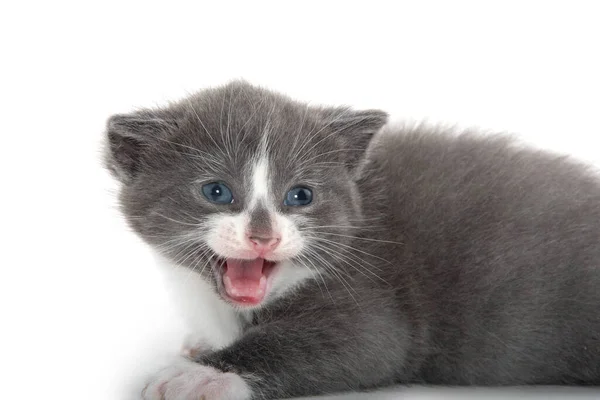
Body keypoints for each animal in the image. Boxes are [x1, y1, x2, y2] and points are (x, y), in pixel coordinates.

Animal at [105, 79, 600, 398]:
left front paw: (199, 376)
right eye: (216, 192)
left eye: (300, 195)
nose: (263, 236)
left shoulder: (374, 296)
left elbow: (359, 343)